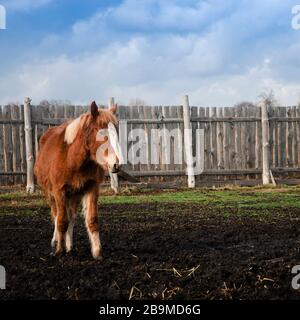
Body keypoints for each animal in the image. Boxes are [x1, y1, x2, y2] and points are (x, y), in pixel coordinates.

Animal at [34, 101, 120, 258]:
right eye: (101, 133)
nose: (115, 164)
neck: (72, 158)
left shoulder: (92, 188)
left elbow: (91, 220)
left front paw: (97, 251)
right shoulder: (59, 191)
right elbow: (61, 221)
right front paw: (59, 250)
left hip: (74, 195)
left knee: (71, 216)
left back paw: (69, 245)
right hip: (50, 194)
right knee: (57, 215)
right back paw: (56, 242)